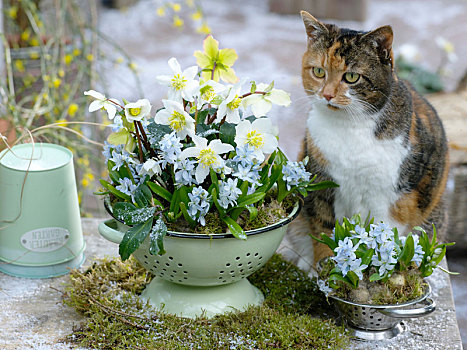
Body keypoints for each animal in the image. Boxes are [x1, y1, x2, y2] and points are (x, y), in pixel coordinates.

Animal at [284, 10, 452, 268]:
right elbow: (324, 231)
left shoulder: (392, 198)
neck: (349, 127)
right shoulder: (322, 185)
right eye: (319, 71)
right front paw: (326, 270)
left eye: (352, 77)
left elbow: (384, 235)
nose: (327, 94)